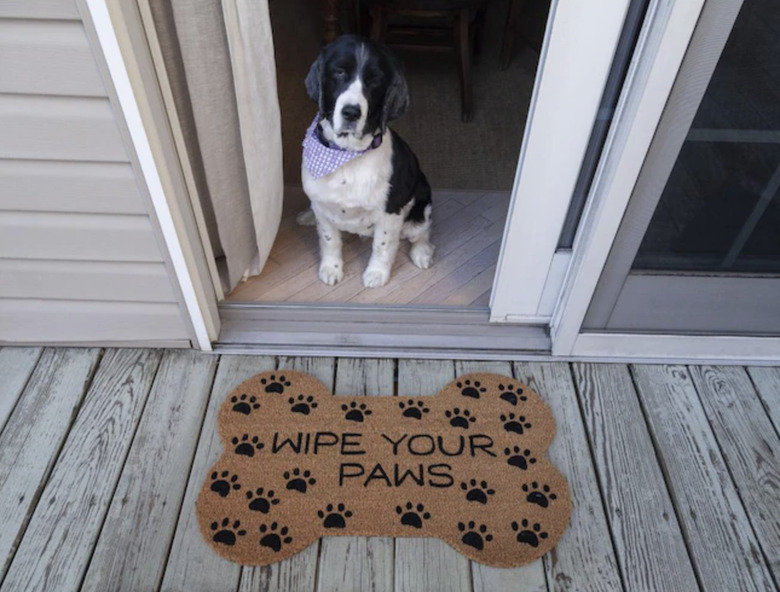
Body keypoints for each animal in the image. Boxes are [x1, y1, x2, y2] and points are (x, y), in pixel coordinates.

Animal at [298, 34, 436, 290]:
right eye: (339, 72)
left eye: (374, 80)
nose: (351, 112)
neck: (346, 155)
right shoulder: (322, 207)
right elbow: (329, 240)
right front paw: (331, 269)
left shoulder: (390, 211)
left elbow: (382, 245)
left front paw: (377, 273)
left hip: (422, 202)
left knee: (422, 233)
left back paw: (422, 253)